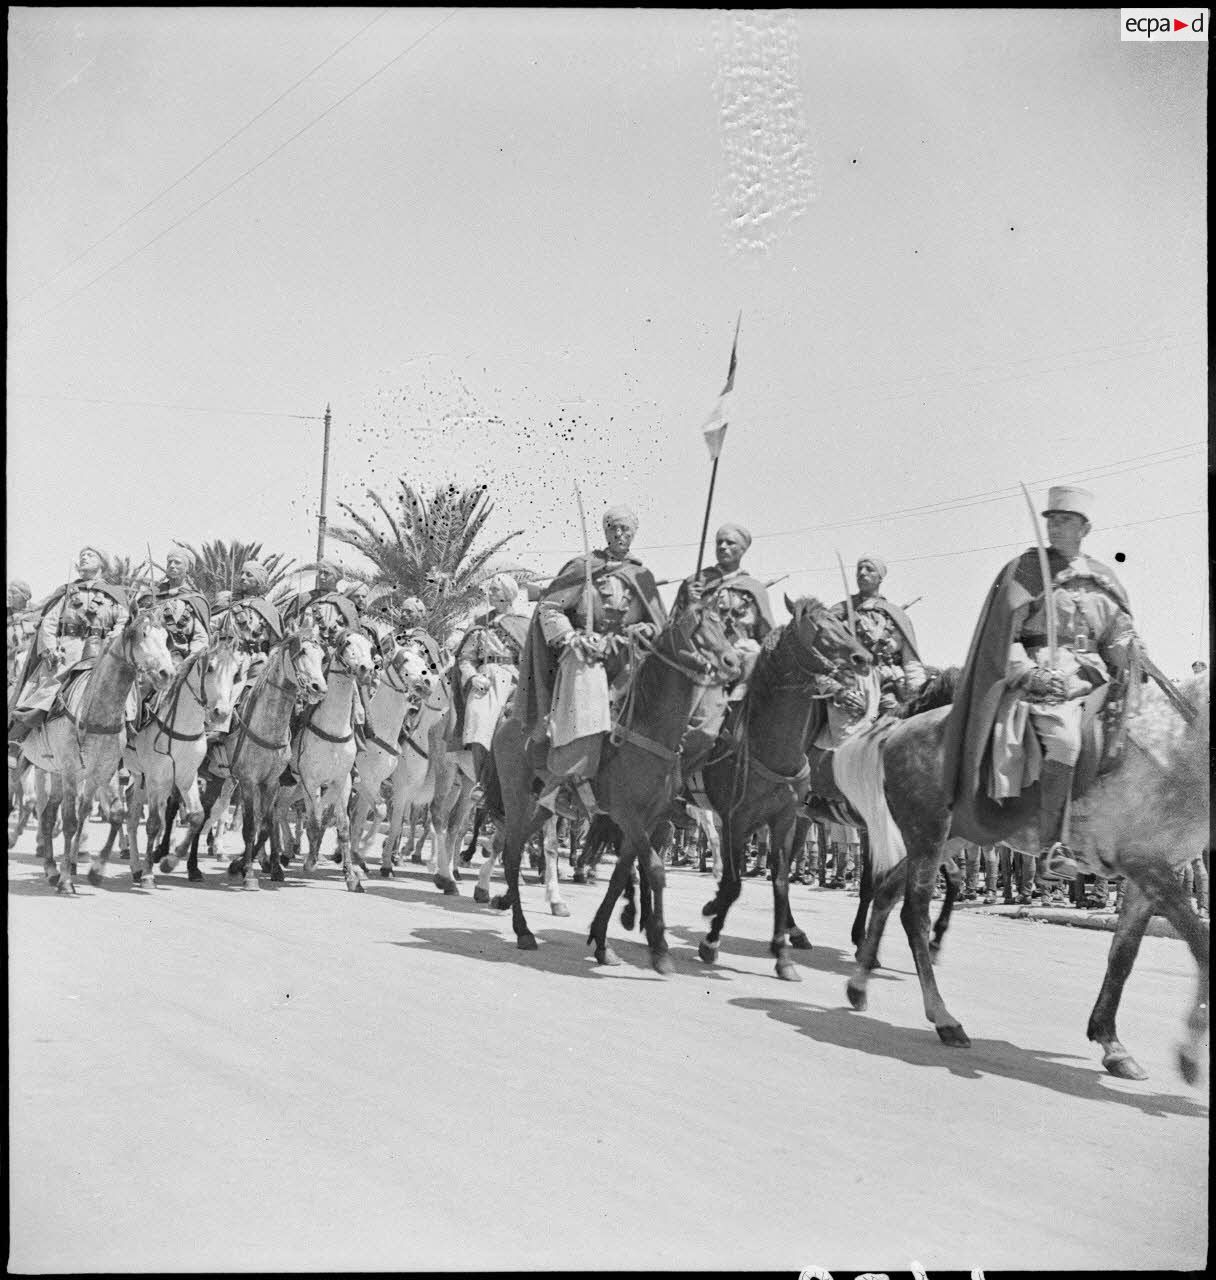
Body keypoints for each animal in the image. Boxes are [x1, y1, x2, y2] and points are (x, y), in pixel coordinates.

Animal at [486, 599, 742, 967]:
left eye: (722, 626)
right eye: (696, 628)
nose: (732, 662)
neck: (650, 734)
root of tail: (510, 721)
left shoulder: (648, 819)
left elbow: (623, 874)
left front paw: (603, 941)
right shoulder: (627, 815)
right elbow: (654, 869)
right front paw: (659, 948)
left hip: (543, 804)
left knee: (517, 846)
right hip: (516, 796)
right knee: (511, 851)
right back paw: (522, 930)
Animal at [844, 675, 1213, 1085]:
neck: (1175, 740)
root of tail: (899, 730)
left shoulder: (1150, 875)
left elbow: (1123, 956)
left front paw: (1111, 1043)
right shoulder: (1146, 866)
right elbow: (1201, 947)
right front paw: (1189, 1056)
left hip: (949, 838)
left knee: (887, 892)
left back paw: (859, 985)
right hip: (927, 833)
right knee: (913, 914)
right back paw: (944, 1019)